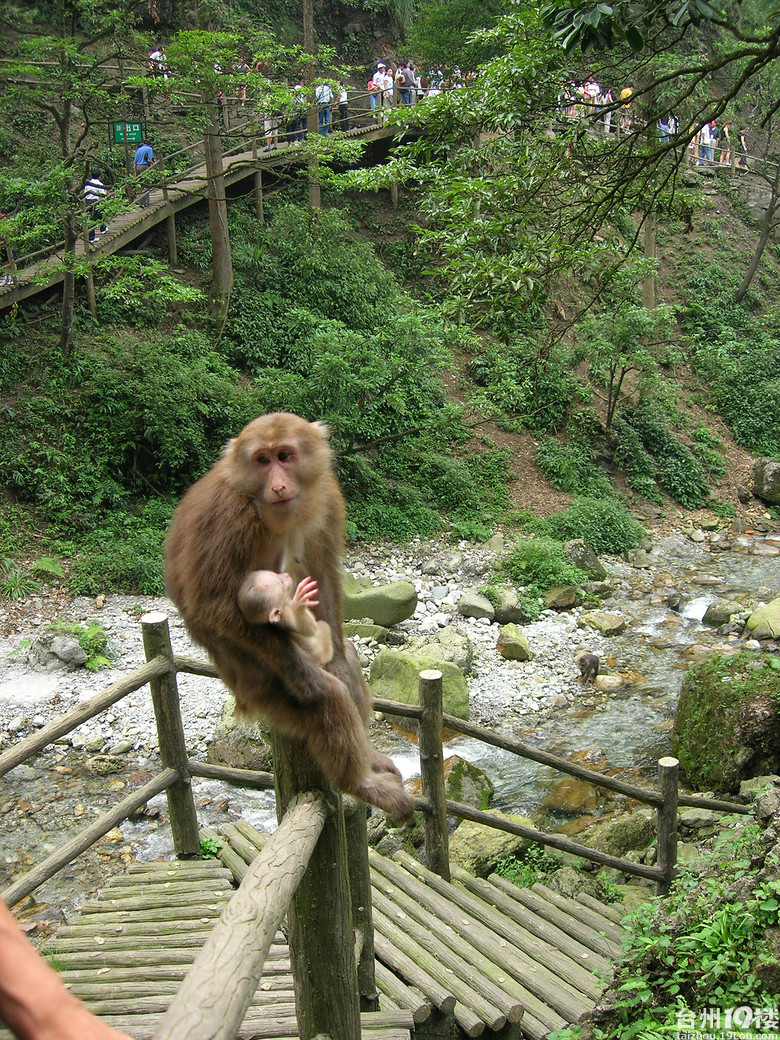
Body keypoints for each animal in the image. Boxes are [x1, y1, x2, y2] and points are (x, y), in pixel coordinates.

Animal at [166, 409, 416, 823]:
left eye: (284, 456)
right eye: (262, 460)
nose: (279, 484)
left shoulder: (327, 496)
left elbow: (324, 571)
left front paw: (334, 654)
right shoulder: (231, 514)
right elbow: (210, 602)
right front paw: (305, 675)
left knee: (346, 662)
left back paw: (369, 755)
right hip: (260, 685)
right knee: (325, 699)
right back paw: (360, 782)